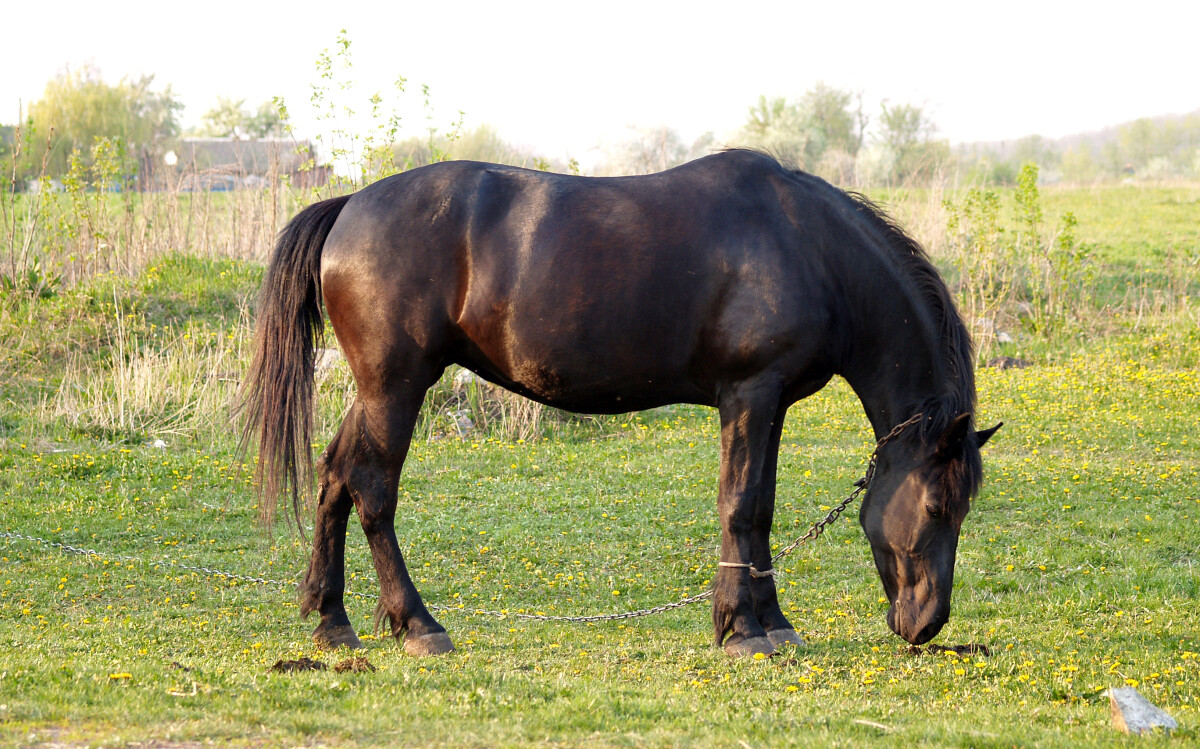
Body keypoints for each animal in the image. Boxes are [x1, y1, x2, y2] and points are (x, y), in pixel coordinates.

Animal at [238, 150, 998, 652]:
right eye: (938, 507)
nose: (927, 623)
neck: (807, 245)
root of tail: (349, 207)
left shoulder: (768, 401)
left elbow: (759, 506)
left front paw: (773, 622)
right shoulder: (750, 393)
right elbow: (743, 504)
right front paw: (743, 630)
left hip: (377, 390)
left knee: (336, 477)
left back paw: (333, 621)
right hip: (395, 386)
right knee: (372, 489)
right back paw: (419, 625)